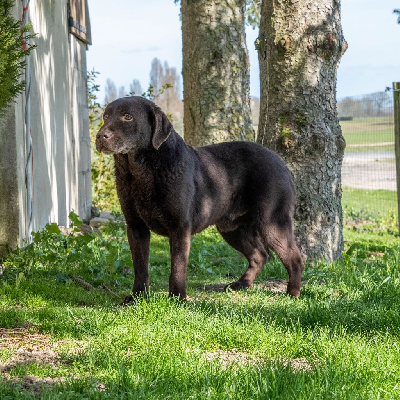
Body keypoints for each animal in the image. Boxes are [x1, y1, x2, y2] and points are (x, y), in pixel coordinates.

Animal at [96, 97, 304, 304]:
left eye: (128, 117)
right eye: (105, 116)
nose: (100, 136)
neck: (141, 172)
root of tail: (280, 162)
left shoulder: (179, 227)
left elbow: (177, 268)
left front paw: (177, 298)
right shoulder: (135, 226)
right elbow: (140, 267)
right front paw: (137, 296)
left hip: (272, 221)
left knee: (295, 258)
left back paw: (292, 294)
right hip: (233, 228)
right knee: (260, 255)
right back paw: (240, 284)